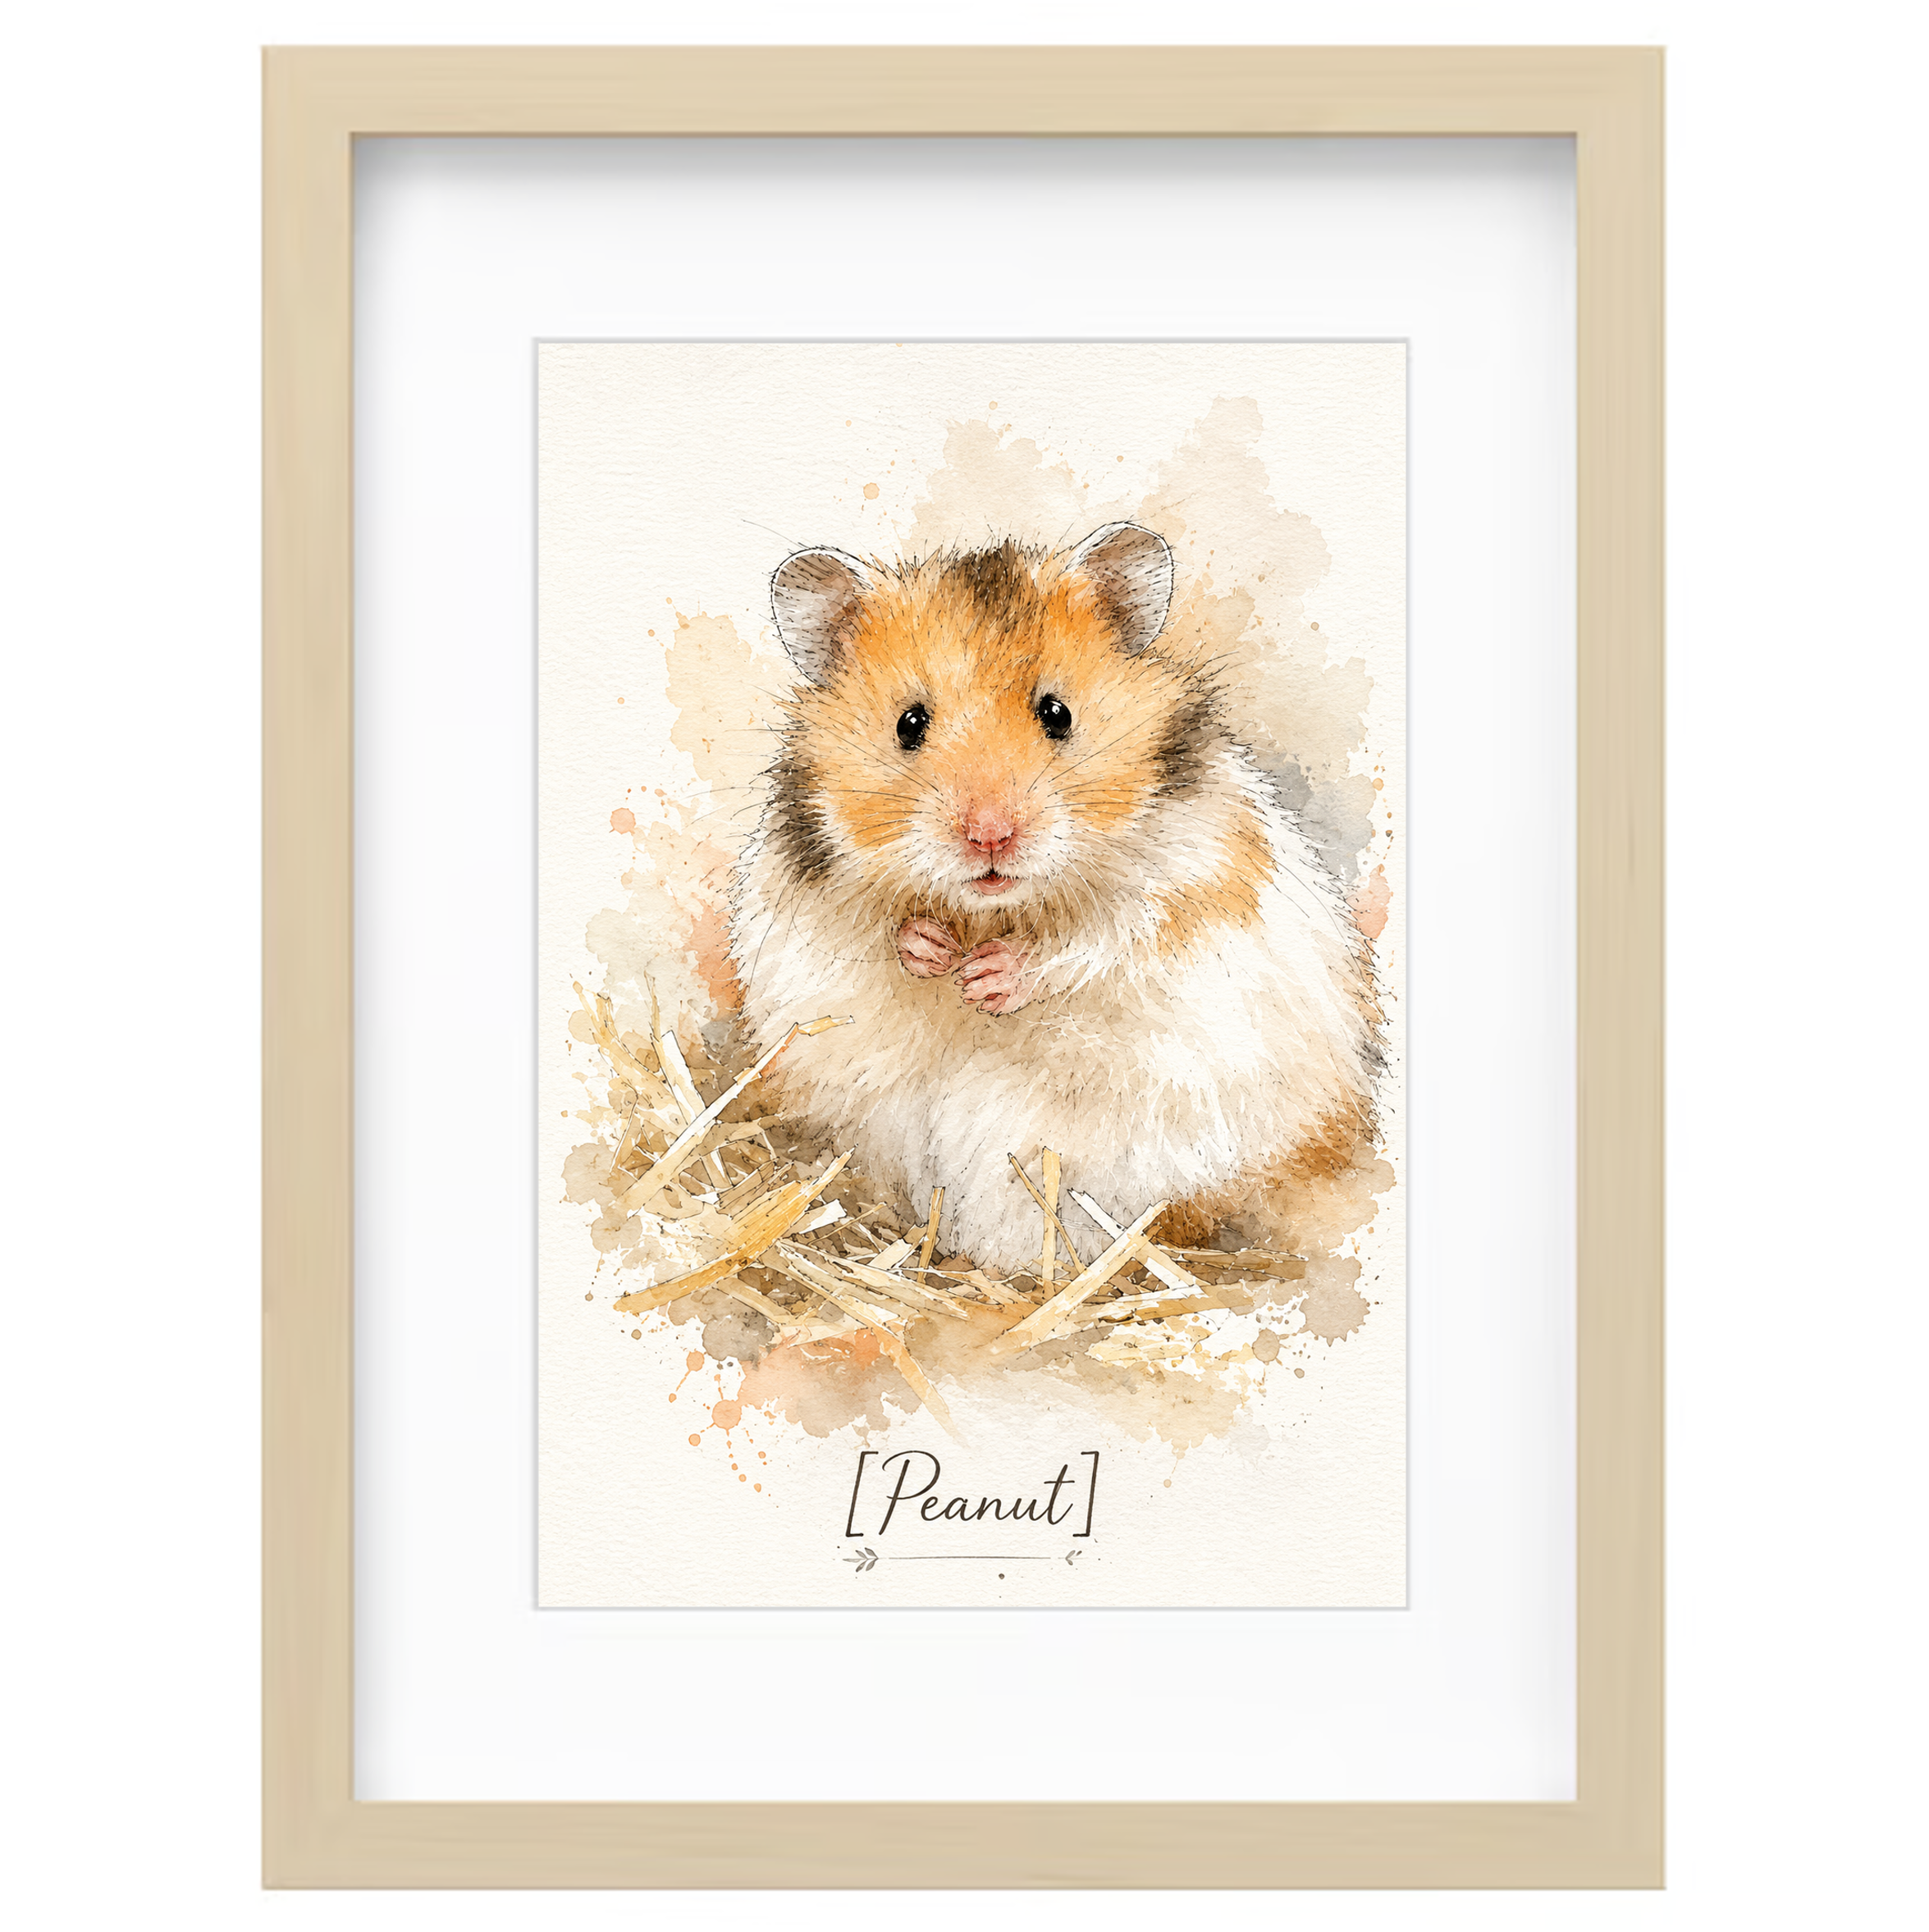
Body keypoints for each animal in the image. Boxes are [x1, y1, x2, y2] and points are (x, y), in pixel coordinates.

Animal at [729, 521, 1383, 1274]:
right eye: (909, 722)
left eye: (1056, 713)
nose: (989, 836)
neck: (993, 910)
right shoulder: (812, 902)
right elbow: (877, 932)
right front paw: (931, 951)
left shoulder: (1186, 881)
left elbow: (1094, 943)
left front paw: (987, 979)